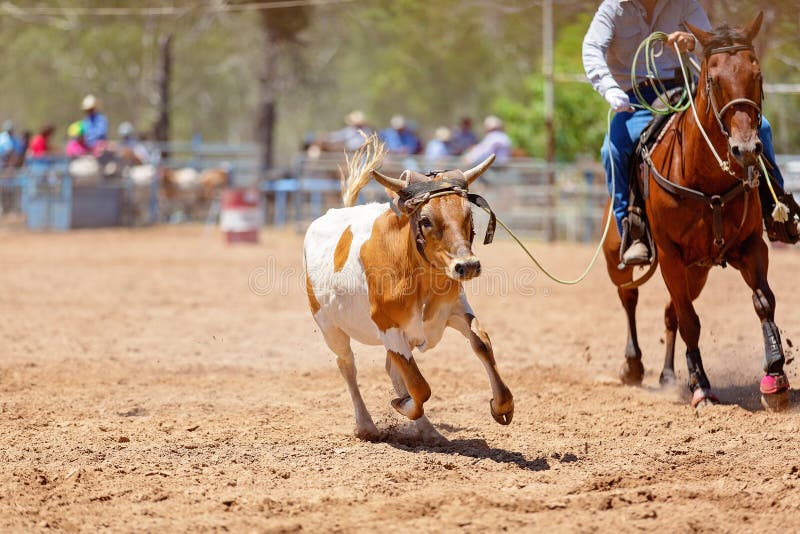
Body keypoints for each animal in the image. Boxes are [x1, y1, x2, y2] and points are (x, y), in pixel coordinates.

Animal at [304, 137, 516, 440]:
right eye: (425, 220)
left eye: (469, 216)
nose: (468, 266)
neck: (419, 278)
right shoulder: (389, 327)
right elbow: (419, 386)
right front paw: (402, 404)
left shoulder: (454, 309)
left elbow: (481, 343)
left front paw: (502, 405)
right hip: (329, 327)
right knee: (348, 366)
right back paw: (367, 425)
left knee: (391, 368)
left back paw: (428, 430)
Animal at [604, 13, 792, 410]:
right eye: (713, 78)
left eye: (756, 73)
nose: (745, 149)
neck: (705, 177)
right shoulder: (671, 256)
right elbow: (691, 320)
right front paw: (702, 387)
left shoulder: (751, 245)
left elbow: (763, 301)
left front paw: (775, 376)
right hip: (618, 257)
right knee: (630, 297)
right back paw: (634, 365)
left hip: (698, 271)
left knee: (670, 312)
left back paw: (669, 375)